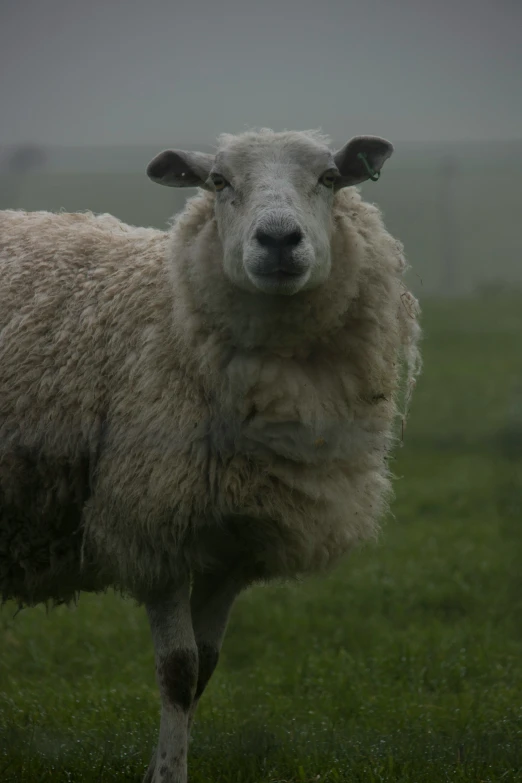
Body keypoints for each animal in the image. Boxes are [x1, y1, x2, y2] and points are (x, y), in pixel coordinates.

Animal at [0, 130, 418, 783]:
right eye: (218, 182)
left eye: (329, 178)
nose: (278, 240)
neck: (169, 315)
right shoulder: (156, 523)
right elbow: (179, 670)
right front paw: (169, 774)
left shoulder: (235, 545)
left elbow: (207, 666)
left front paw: (160, 765)